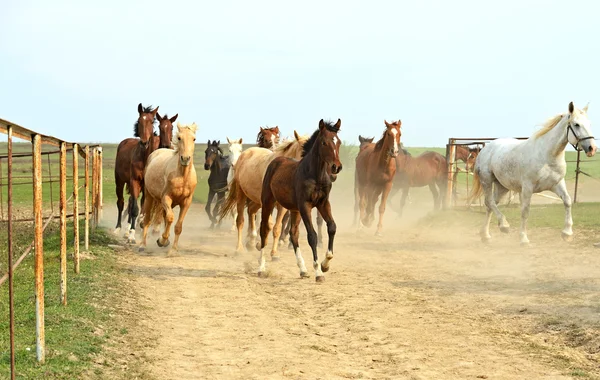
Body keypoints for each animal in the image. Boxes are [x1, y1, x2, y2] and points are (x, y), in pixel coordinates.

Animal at [139, 122, 198, 255]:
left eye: (194, 139)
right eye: (179, 138)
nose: (185, 159)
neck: (182, 176)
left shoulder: (186, 202)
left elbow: (178, 226)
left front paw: (173, 250)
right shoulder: (166, 198)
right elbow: (170, 218)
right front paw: (162, 240)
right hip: (149, 197)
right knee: (147, 220)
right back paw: (142, 245)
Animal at [256, 119, 342, 282]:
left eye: (338, 142)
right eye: (324, 142)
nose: (336, 167)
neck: (315, 175)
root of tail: (275, 160)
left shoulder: (323, 203)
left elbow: (332, 227)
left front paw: (325, 264)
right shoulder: (305, 205)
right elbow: (312, 236)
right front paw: (319, 272)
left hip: (294, 210)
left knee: (293, 233)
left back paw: (303, 270)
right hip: (268, 202)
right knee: (264, 229)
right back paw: (261, 268)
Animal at [474, 101, 596, 245]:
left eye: (589, 124)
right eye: (576, 124)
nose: (592, 148)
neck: (547, 155)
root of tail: (486, 148)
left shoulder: (557, 184)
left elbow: (567, 201)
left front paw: (567, 233)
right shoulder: (527, 188)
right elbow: (525, 211)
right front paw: (523, 239)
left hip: (502, 186)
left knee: (490, 205)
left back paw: (486, 236)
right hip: (486, 180)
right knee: (490, 202)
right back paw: (504, 226)